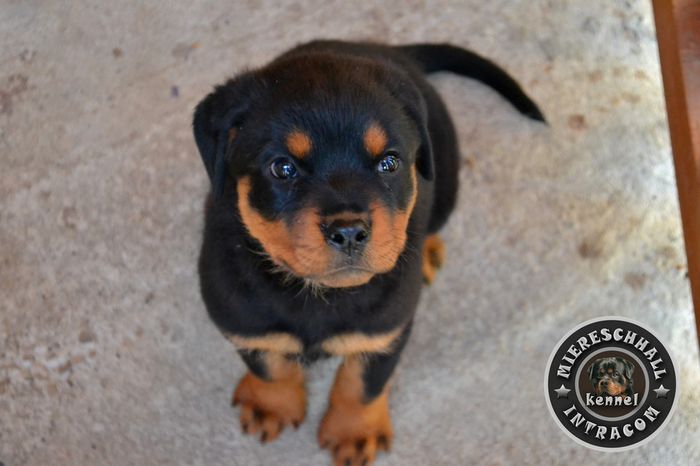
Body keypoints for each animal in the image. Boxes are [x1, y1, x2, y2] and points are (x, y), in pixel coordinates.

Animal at [194, 41, 544, 466]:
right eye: (282, 168)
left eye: (389, 162)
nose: (348, 231)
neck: (318, 295)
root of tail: (390, 49)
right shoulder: (242, 318)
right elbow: (269, 365)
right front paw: (271, 405)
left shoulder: (385, 330)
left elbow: (361, 383)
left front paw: (354, 433)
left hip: (446, 179)